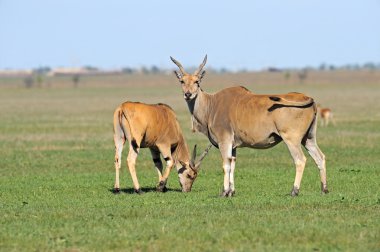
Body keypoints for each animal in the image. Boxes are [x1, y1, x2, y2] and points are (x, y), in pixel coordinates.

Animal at [171, 55, 328, 197]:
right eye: (182, 81)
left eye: (197, 82)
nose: (188, 94)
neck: (211, 105)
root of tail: (308, 98)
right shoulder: (233, 146)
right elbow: (233, 164)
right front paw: (231, 192)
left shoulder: (224, 141)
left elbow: (226, 165)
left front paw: (225, 192)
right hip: (308, 138)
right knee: (320, 157)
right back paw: (324, 189)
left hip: (292, 139)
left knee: (300, 160)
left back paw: (294, 191)